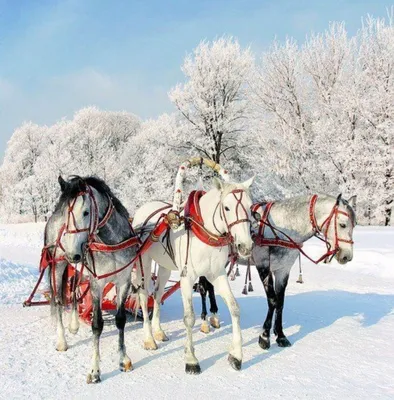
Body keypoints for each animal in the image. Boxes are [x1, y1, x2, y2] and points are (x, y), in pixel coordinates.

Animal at [132, 177, 255, 374]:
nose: (245, 246)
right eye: (227, 208)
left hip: (165, 266)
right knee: (144, 297)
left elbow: (234, 308)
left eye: (250, 207)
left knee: (157, 295)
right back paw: (149, 338)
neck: (205, 232)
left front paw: (236, 355)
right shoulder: (187, 277)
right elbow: (189, 317)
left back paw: (158, 330)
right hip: (144, 262)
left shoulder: (218, 274)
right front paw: (191, 359)